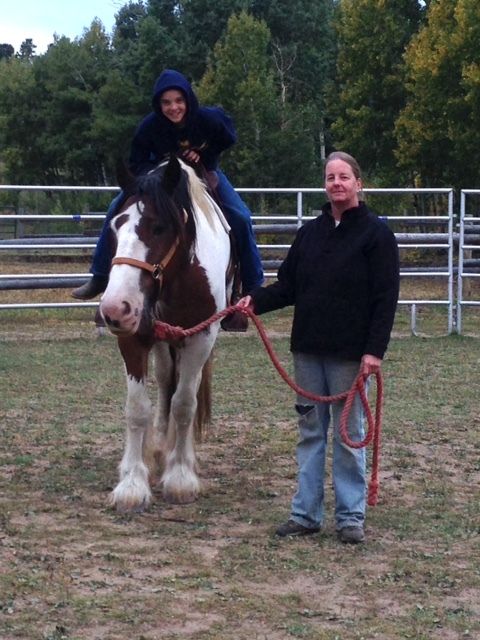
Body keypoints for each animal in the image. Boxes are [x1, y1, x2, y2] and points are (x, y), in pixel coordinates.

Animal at [99, 155, 232, 512]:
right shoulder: (133, 338)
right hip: (161, 343)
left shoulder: (200, 338)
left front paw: (181, 477)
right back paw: (159, 450)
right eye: (115, 226)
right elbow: (137, 408)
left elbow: (184, 405)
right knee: (163, 384)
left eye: (159, 227)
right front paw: (132, 483)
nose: (115, 308)